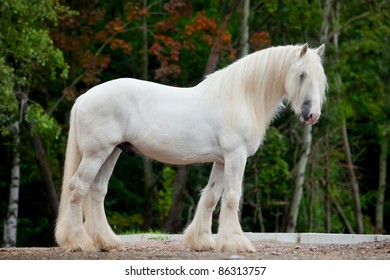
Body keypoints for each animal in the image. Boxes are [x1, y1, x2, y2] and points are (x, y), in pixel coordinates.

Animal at [55, 42, 326, 253]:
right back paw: (78, 243)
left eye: (320, 78)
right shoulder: (235, 156)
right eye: (302, 74)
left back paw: (107, 242)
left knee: (97, 192)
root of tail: (84, 98)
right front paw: (236, 243)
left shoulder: (222, 160)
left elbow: (211, 197)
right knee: (78, 188)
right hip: (96, 154)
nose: (312, 115)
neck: (241, 97)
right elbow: (231, 197)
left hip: (112, 152)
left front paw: (202, 242)